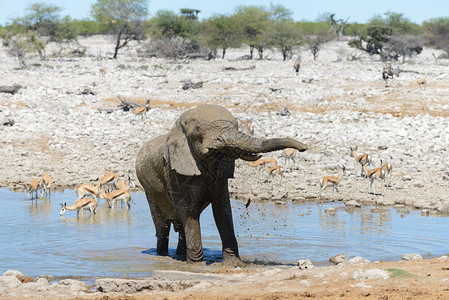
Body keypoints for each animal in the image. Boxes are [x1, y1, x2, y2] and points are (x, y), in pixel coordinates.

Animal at [135, 104, 306, 266]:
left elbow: (222, 210)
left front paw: (235, 264)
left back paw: (180, 255)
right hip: (150, 191)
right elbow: (188, 211)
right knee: (162, 226)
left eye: (236, 125)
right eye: (199, 130)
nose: (304, 148)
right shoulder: (175, 173)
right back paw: (162, 255)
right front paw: (197, 266)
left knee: (181, 228)